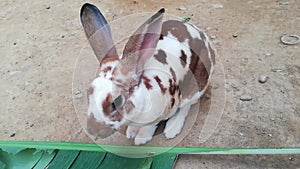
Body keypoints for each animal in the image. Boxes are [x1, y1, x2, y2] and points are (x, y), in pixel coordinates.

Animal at [79, 2, 216, 145]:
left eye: (116, 101)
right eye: (88, 93)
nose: (93, 130)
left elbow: (150, 125)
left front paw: (141, 138)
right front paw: (131, 132)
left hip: (197, 84)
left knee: (186, 105)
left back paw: (172, 130)